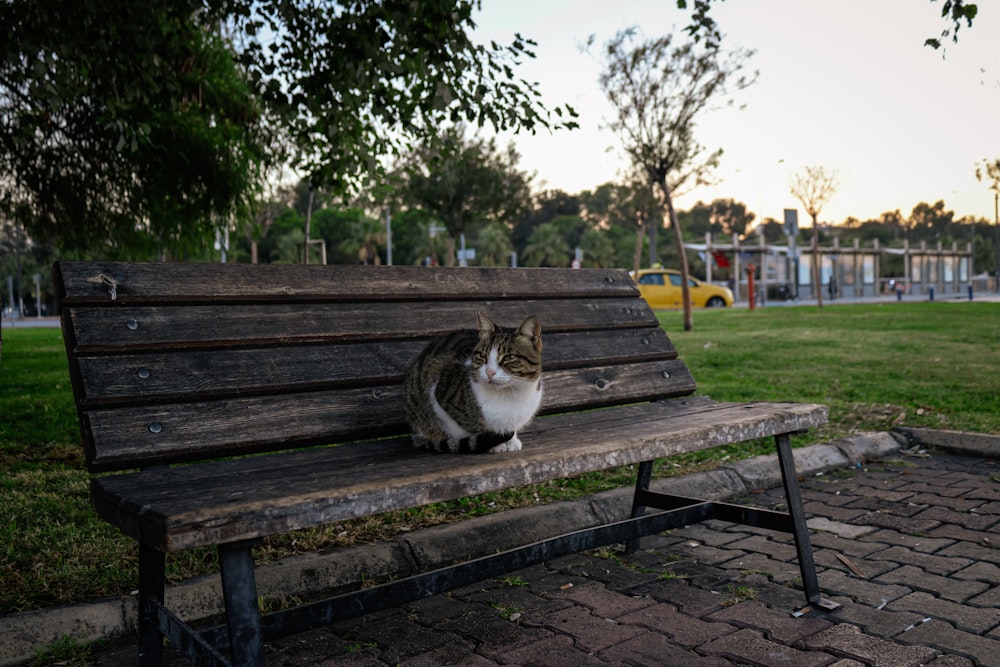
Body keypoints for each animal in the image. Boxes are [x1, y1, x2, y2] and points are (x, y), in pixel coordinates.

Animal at [402, 314, 544, 454]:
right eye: (482, 355)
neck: (509, 395)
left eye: (509, 357)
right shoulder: (443, 391)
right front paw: (496, 444)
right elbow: (476, 426)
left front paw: (511, 441)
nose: (489, 372)